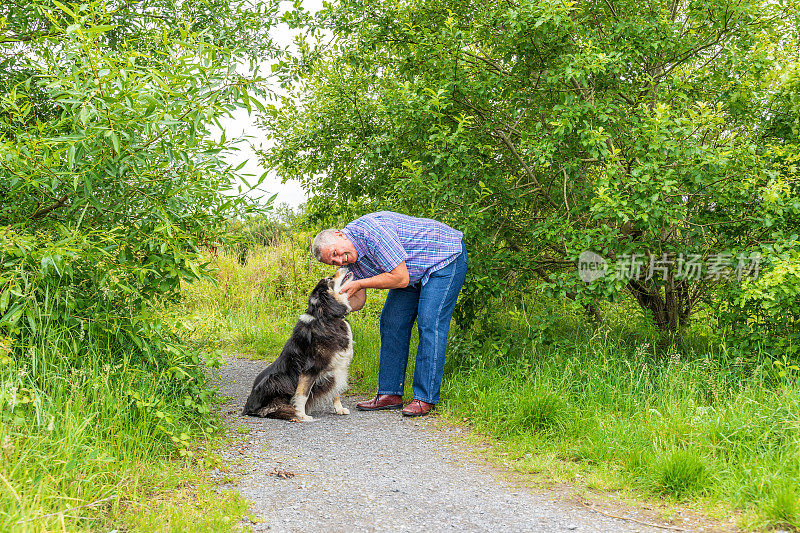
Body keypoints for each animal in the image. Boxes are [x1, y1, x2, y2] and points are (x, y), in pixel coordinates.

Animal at [242, 268, 354, 422]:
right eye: (330, 279)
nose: (344, 267)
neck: (327, 317)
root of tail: (247, 408)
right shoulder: (310, 369)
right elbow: (302, 394)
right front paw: (302, 415)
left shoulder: (337, 368)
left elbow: (336, 391)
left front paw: (339, 409)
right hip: (275, 379)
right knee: (268, 410)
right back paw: (291, 415)